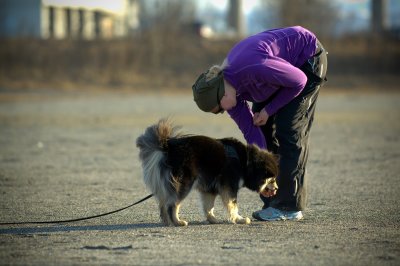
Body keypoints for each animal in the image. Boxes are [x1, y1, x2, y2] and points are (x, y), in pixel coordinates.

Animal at [135, 119, 278, 227]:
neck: (246, 161)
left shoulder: (209, 189)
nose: (277, 188)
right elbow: (233, 204)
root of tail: (168, 148)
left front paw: (213, 219)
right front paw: (239, 219)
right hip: (185, 183)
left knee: (163, 203)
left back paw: (167, 222)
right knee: (172, 203)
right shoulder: (229, 186)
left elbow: (209, 206)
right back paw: (177, 222)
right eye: (271, 179)